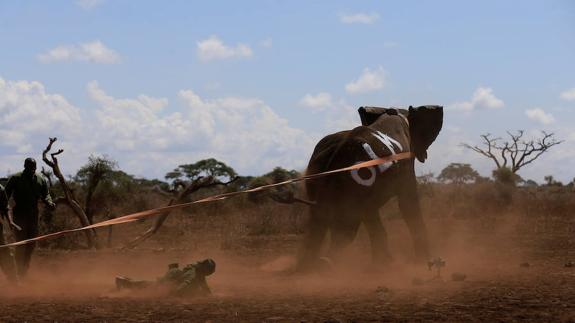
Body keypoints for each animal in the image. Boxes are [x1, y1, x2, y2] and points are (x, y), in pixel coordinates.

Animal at [300, 105, 444, 270]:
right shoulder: (406, 164)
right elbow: (407, 203)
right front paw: (422, 261)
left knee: (324, 222)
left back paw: (313, 266)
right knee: (346, 226)